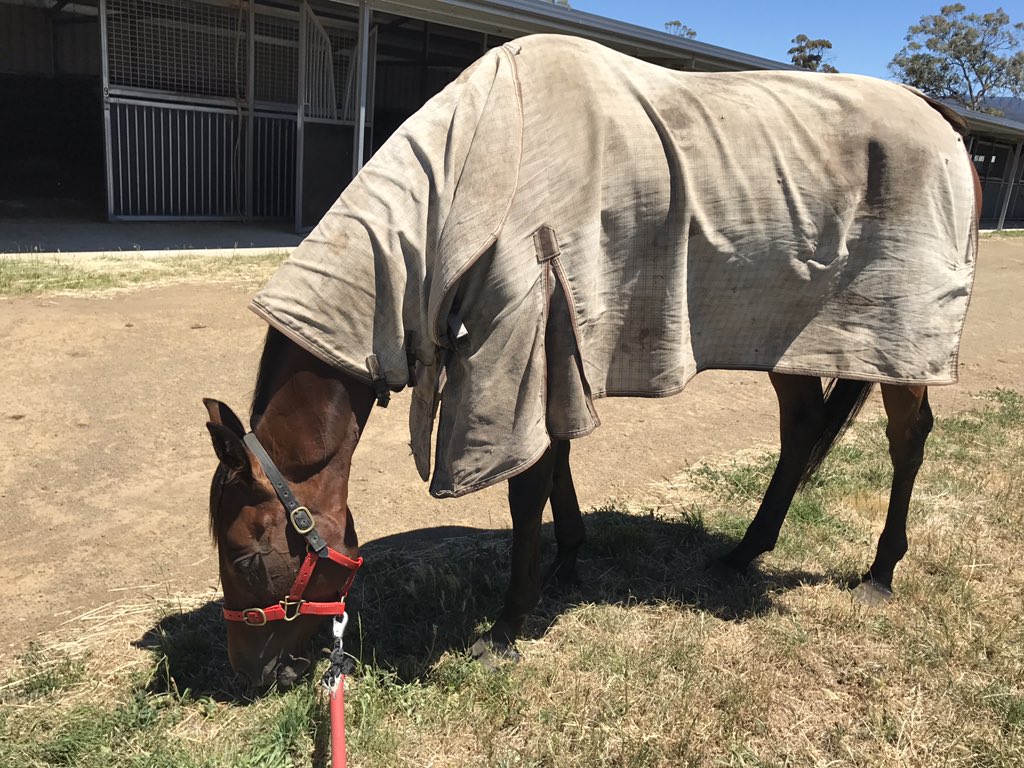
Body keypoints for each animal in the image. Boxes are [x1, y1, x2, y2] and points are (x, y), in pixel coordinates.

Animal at [204, 35, 981, 688]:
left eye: (246, 556)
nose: (246, 676)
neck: (475, 156)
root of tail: (936, 113)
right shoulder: (556, 347)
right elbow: (557, 466)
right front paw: (568, 561)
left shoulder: (520, 343)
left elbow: (528, 488)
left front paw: (509, 625)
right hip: (793, 342)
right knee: (801, 434)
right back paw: (744, 551)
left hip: (901, 341)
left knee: (907, 440)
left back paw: (880, 572)